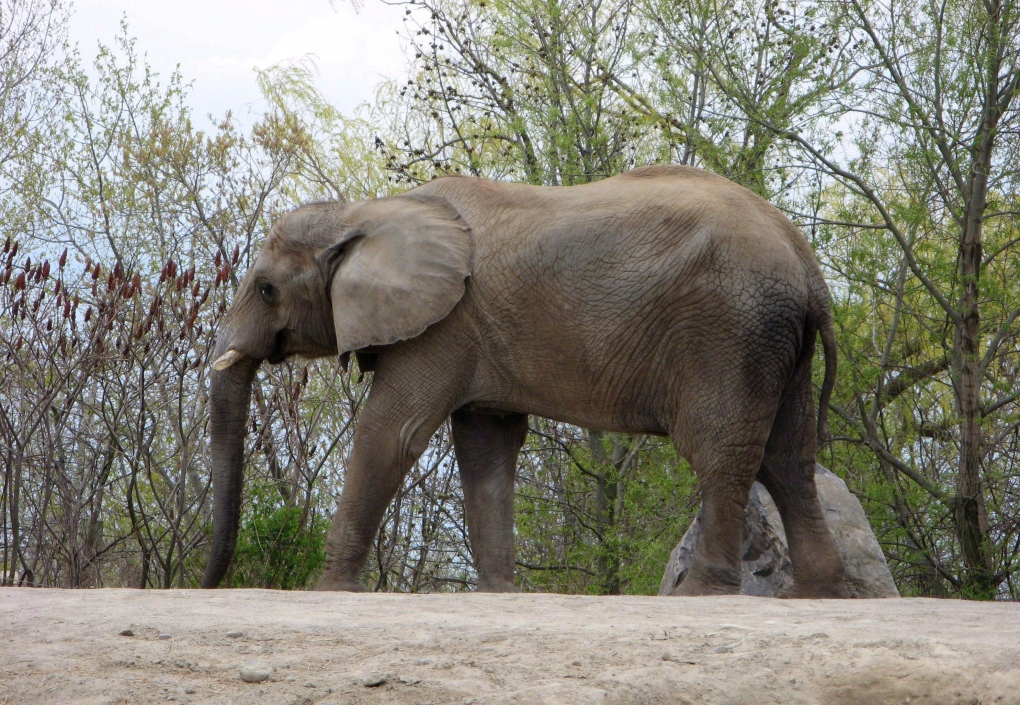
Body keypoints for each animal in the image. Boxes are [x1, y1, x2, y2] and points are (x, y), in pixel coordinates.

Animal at [202, 167, 848, 599]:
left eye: (266, 288)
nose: (212, 583)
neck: (366, 210)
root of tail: (805, 260)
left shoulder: (445, 326)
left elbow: (392, 431)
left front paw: (329, 589)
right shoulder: (473, 335)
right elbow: (486, 446)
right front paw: (498, 593)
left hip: (729, 331)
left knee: (721, 450)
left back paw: (699, 594)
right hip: (773, 339)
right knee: (788, 458)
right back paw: (817, 593)